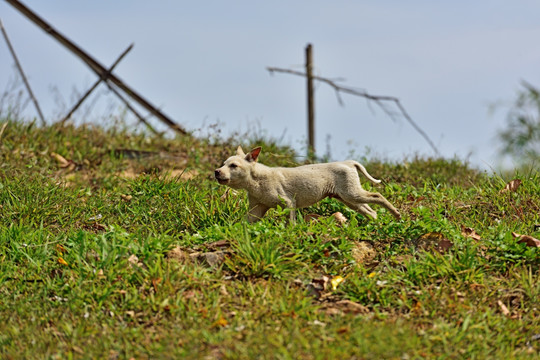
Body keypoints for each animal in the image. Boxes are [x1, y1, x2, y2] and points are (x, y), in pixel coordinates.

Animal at [215, 146, 400, 222]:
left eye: (233, 166)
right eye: (223, 164)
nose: (217, 171)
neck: (255, 181)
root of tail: (348, 162)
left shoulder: (288, 203)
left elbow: (290, 223)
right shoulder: (257, 209)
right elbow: (245, 224)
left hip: (351, 193)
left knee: (377, 195)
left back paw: (397, 215)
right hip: (348, 198)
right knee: (370, 211)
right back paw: (374, 224)